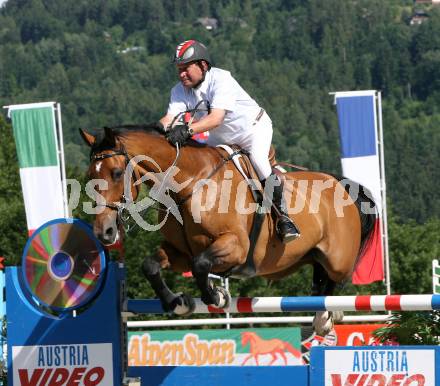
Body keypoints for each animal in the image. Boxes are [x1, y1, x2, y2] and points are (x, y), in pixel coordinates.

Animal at [81, 124, 376, 334]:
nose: (104, 231)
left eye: (116, 173)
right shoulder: (180, 252)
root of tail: (339, 183)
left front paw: (216, 296)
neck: (191, 184)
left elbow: (201, 264)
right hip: (310, 256)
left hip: (337, 259)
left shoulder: (235, 246)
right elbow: (151, 265)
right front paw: (177, 302)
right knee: (319, 282)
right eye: (90, 175)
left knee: (333, 282)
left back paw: (324, 318)